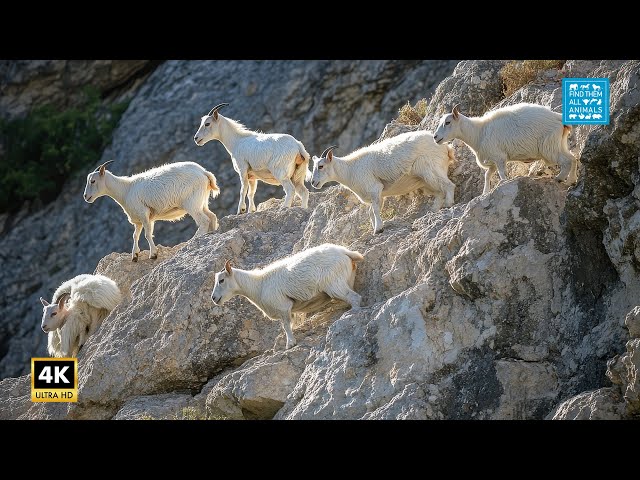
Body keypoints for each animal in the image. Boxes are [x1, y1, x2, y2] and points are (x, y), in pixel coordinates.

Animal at [84, 159, 219, 260]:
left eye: (93, 181)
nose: (86, 197)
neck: (126, 189)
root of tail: (204, 172)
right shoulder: (139, 220)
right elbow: (135, 236)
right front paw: (135, 255)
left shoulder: (144, 214)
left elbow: (147, 234)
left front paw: (153, 254)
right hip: (202, 201)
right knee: (212, 217)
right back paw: (210, 234)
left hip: (192, 202)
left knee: (204, 221)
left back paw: (194, 239)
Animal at [212, 244, 362, 348]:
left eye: (221, 280)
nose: (213, 298)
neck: (259, 285)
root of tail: (344, 251)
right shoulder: (289, 310)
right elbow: (291, 324)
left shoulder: (283, 306)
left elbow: (286, 326)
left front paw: (290, 344)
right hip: (347, 279)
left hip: (334, 283)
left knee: (355, 298)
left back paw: (352, 314)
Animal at [310, 130, 456, 233]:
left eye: (321, 166)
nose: (313, 182)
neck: (351, 169)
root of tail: (447, 148)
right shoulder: (379, 194)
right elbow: (371, 212)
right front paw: (376, 227)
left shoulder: (374, 188)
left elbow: (374, 210)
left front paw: (378, 229)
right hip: (426, 180)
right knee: (439, 192)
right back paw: (434, 210)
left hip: (431, 170)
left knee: (449, 185)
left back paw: (448, 204)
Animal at [432, 103, 576, 195]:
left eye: (448, 122)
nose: (435, 137)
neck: (479, 132)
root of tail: (557, 117)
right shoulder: (493, 161)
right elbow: (487, 175)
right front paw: (485, 192)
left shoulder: (499, 157)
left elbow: (501, 175)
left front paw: (502, 184)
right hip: (559, 143)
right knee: (573, 158)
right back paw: (571, 181)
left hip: (549, 147)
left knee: (567, 161)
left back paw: (559, 178)